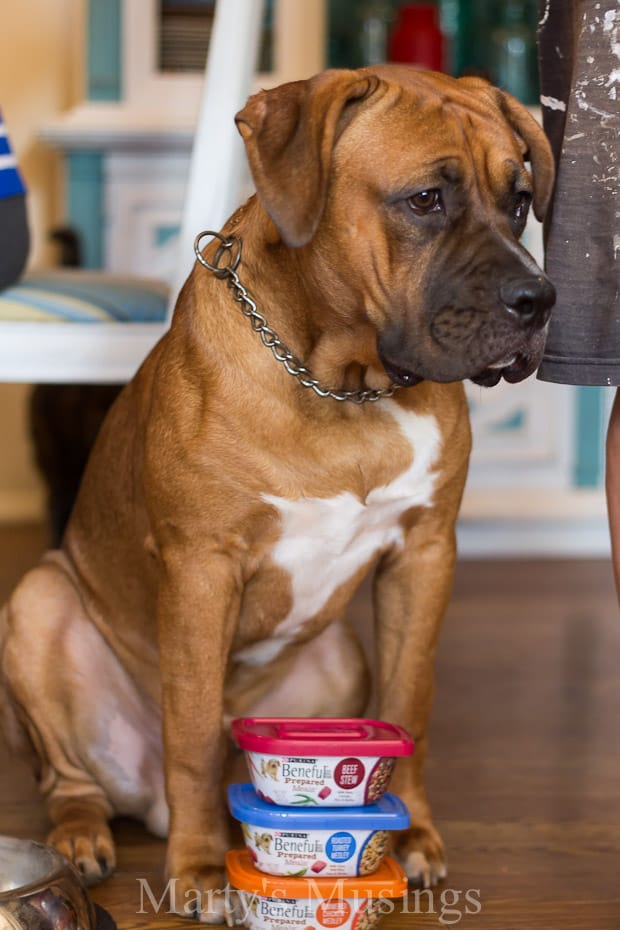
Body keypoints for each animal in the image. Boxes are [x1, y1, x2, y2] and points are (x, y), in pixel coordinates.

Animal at [0, 67, 552, 920]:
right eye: (426, 200)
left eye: (520, 199)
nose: (538, 299)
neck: (343, 384)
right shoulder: (202, 568)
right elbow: (194, 732)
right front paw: (198, 870)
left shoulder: (425, 557)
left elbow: (411, 701)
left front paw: (412, 836)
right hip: (37, 604)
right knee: (70, 781)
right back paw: (80, 841)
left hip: (339, 654)